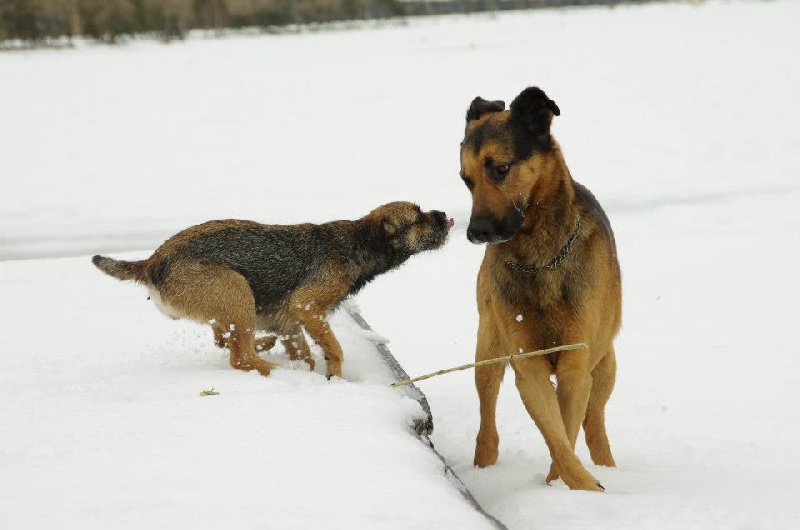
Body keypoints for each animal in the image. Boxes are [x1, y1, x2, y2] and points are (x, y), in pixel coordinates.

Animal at [93, 201, 452, 378]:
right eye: (417, 217)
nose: (445, 215)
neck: (355, 243)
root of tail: (152, 261)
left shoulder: (292, 323)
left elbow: (306, 351)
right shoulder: (307, 306)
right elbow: (335, 349)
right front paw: (333, 376)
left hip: (230, 305)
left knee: (226, 340)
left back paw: (266, 347)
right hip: (237, 291)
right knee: (240, 358)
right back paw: (283, 373)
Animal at [459, 87, 622, 491]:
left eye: (500, 169)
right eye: (466, 179)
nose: (476, 233)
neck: (538, 256)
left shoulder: (575, 365)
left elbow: (566, 432)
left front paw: (570, 489)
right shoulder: (528, 365)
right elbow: (557, 438)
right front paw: (574, 487)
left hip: (606, 362)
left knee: (594, 421)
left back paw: (607, 464)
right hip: (489, 346)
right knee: (487, 412)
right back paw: (485, 465)